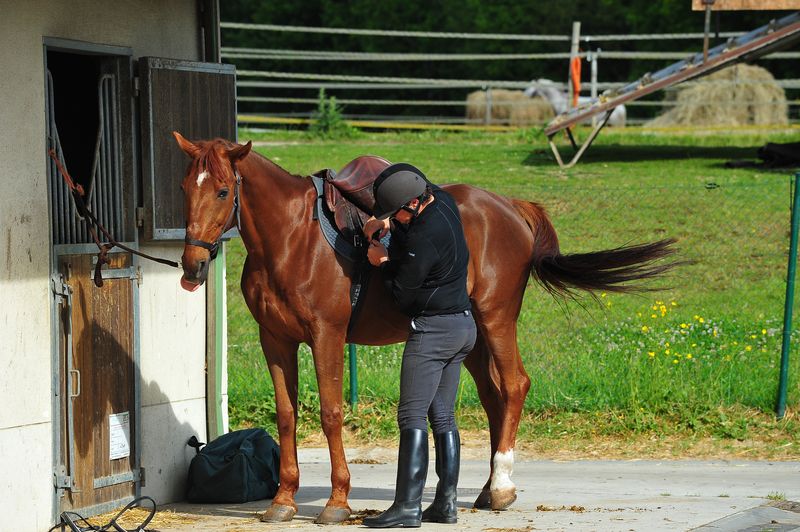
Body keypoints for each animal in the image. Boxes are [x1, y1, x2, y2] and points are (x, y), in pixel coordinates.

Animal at [173, 133, 676, 524]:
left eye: (223, 191)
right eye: (183, 188)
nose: (192, 266)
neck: (293, 238)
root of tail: (510, 207)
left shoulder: (326, 336)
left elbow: (331, 414)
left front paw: (337, 501)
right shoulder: (274, 341)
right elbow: (286, 416)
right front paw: (282, 500)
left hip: (496, 319)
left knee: (515, 385)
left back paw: (503, 485)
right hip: (474, 338)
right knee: (494, 397)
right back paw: (486, 491)